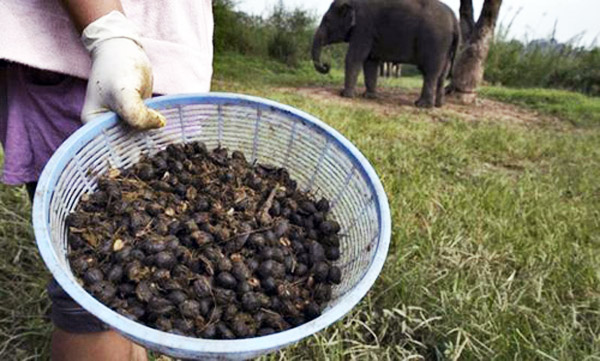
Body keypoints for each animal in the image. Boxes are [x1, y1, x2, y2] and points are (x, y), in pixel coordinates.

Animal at [314, 0, 460, 107]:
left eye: (327, 21)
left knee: (431, 72)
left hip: (436, 42)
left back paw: (422, 105)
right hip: (445, 46)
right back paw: (438, 105)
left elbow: (354, 58)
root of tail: (455, 21)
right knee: (442, 74)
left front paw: (345, 95)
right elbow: (370, 62)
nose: (326, 65)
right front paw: (369, 97)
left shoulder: (363, 27)